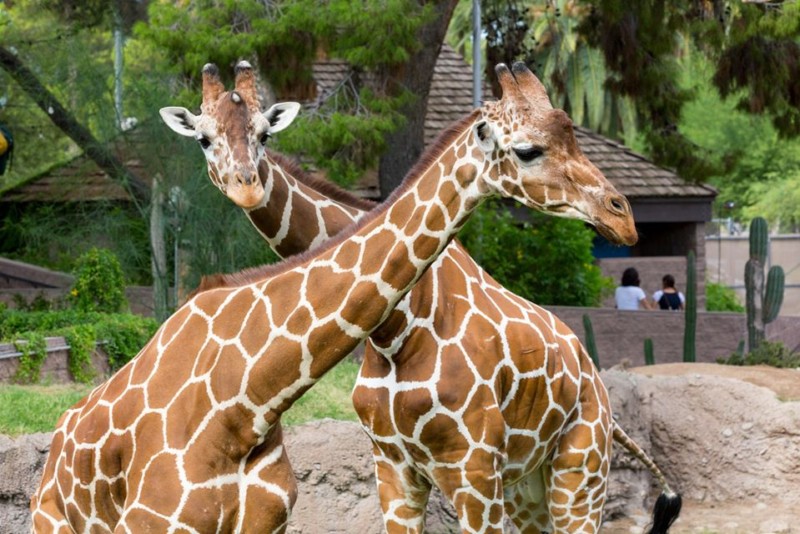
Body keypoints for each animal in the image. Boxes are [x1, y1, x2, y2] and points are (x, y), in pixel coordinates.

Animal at [158, 63, 680, 534]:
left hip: (580, 470)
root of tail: (597, 381)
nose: (622, 217)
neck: (398, 329)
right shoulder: (393, 465)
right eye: (203, 138)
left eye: (265, 134)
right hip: (527, 485)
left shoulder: (473, 468)